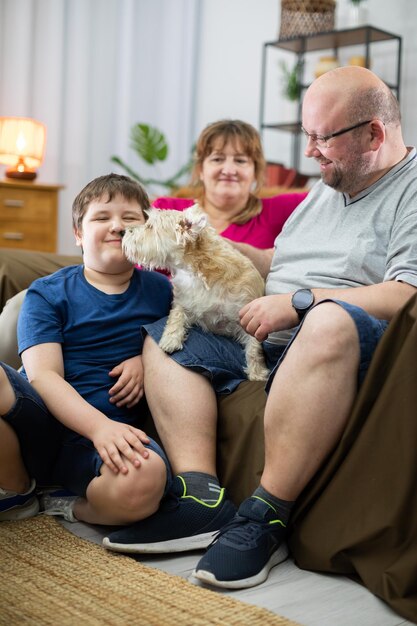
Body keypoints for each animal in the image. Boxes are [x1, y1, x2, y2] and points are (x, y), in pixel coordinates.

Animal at [122, 205, 268, 380]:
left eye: (150, 227)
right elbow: (176, 315)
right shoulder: (183, 302)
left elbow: (254, 349)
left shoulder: (248, 316)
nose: (123, 231)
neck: (193, 271)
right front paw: (170, 338)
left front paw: (257, 374)